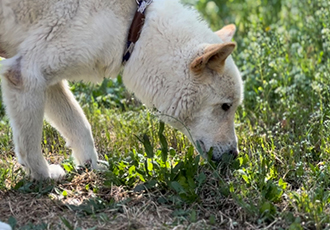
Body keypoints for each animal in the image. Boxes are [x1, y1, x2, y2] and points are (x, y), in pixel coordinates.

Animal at [0, 0, 242, 180]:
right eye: (225, 107)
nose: (234, 156)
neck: (135, 27)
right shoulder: (25, 74)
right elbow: (30, 146)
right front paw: (44, 175)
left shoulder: (47, 81)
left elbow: (80, 127)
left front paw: (92, 167)